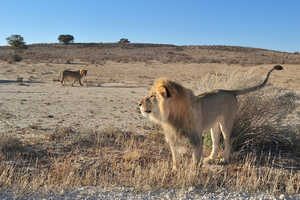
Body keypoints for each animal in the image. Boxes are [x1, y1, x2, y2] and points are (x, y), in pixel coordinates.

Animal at [138, 65, 284, 170]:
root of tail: (230, 91)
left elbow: (195, 157)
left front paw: (194, 171)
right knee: (216, 143)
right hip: (214, 126)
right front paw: (175, 170)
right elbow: (175, 157)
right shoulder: (173, 137)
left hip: (226, 123)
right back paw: (210, 159)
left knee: (228, 141)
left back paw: (224, 160)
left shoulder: (196, 137)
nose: (138, 103)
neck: (171, 116)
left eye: (152, 96)